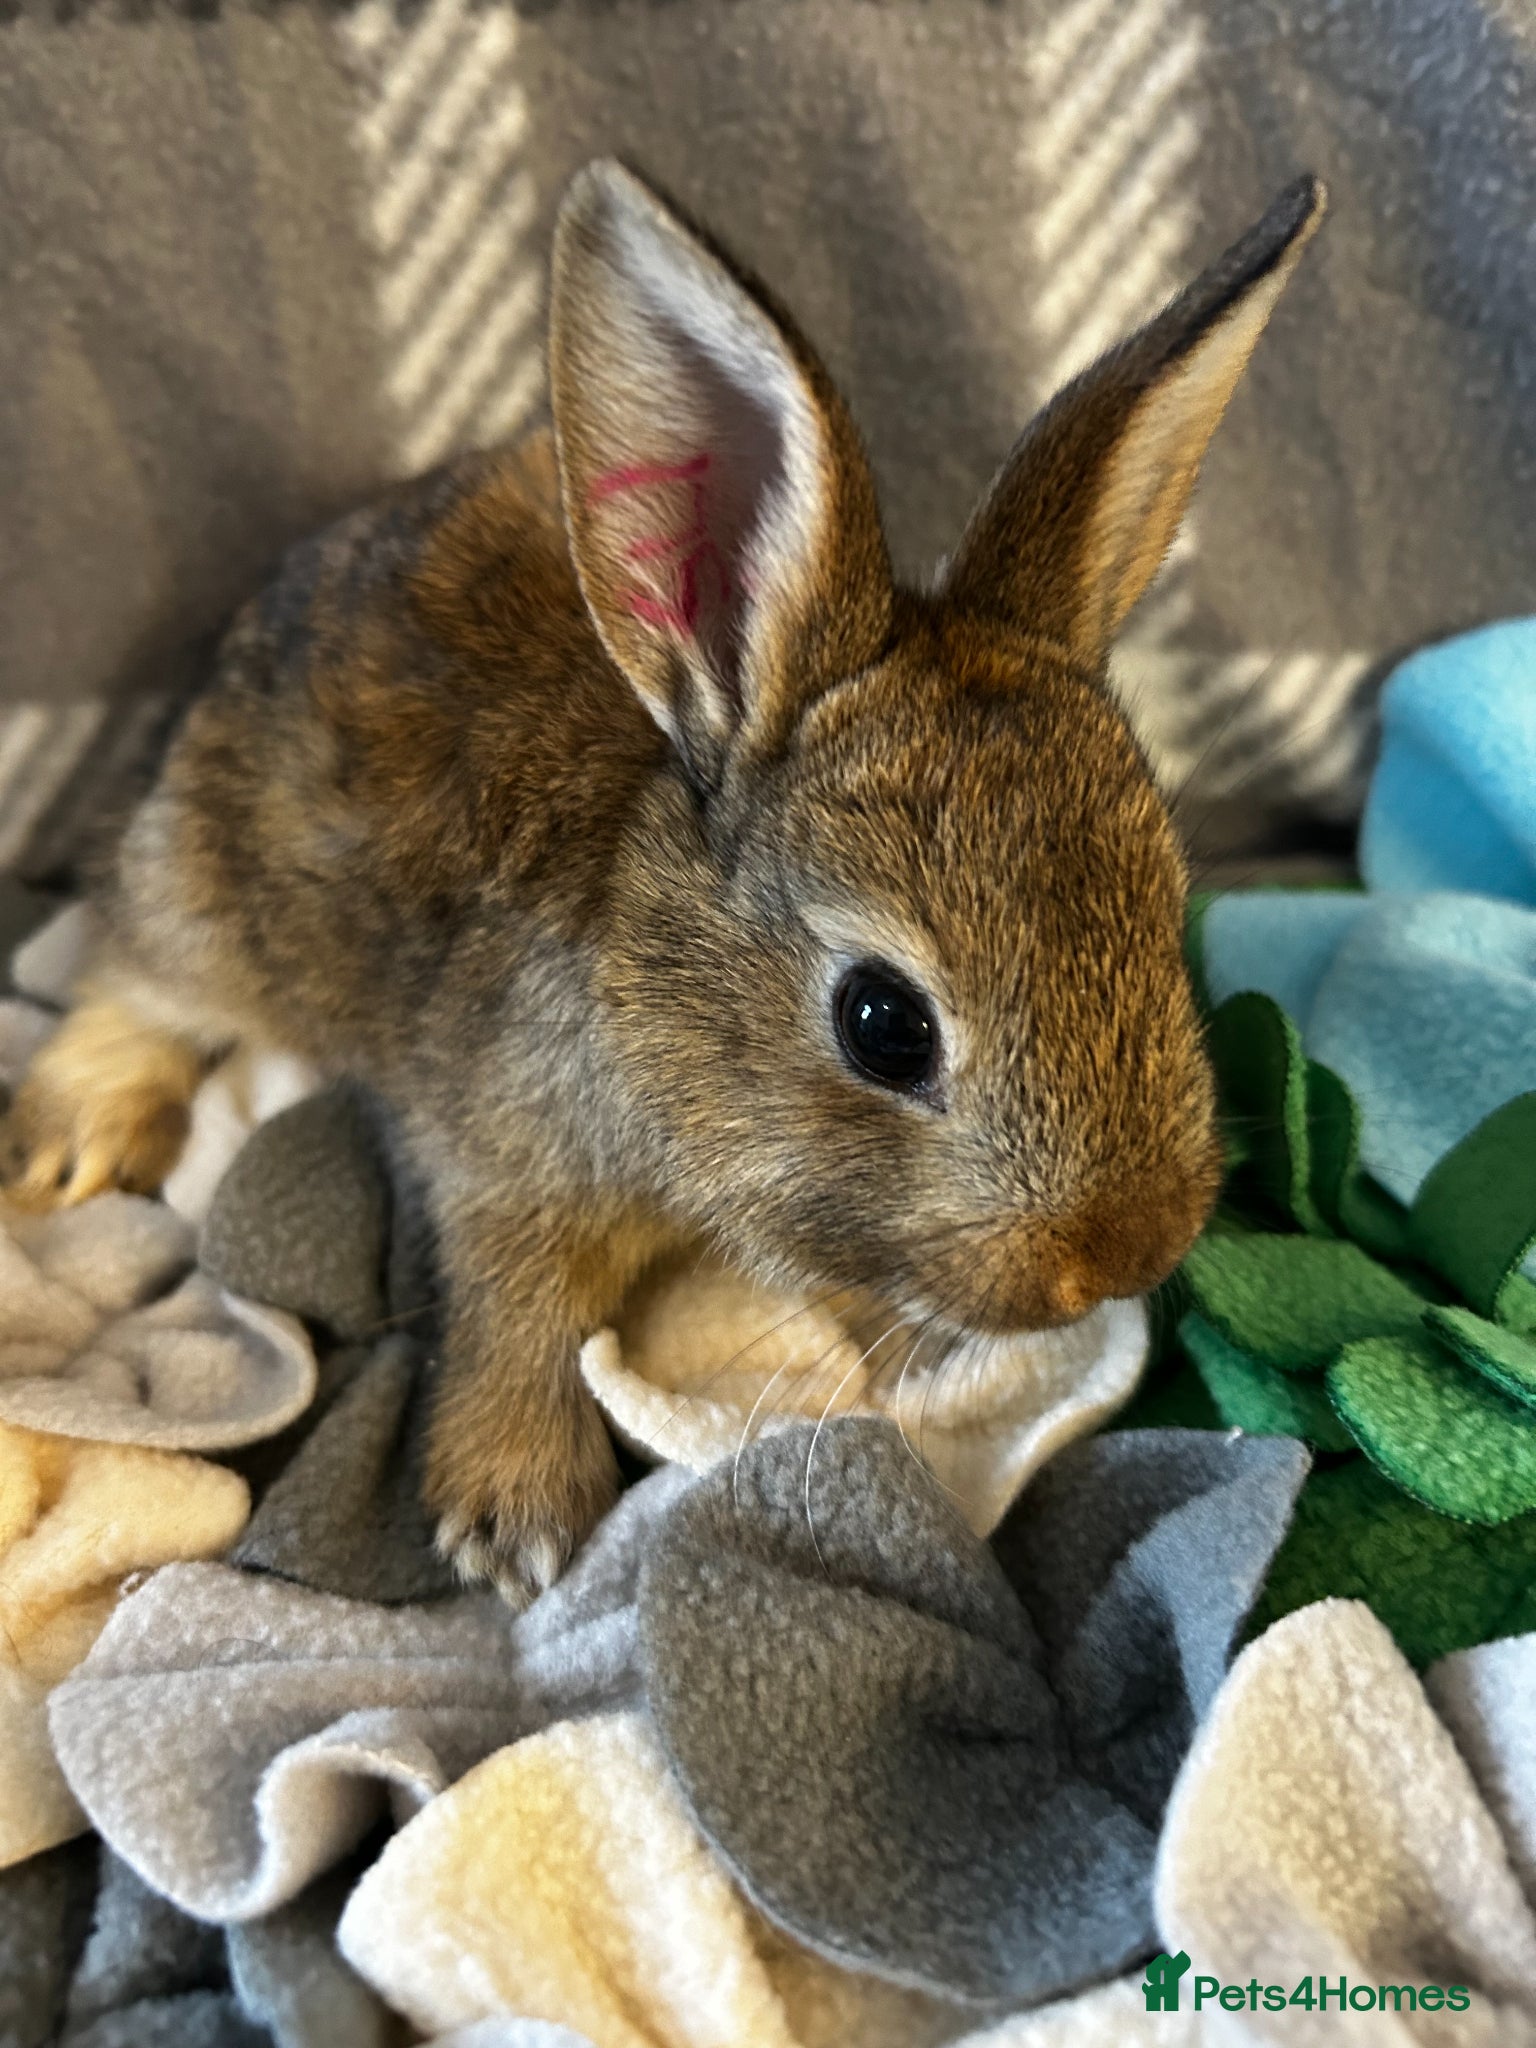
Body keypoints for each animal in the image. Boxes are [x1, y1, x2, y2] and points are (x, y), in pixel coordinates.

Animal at [8, 161, 1325, 1603]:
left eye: (1165, 914)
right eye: (884, 1024)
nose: (1125, 1251)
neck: (660, 968)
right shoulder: (507, 1157)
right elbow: (518, 1308)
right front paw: (516, 1514)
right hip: (207, 884)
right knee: (134, 971)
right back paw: (75, 1144)